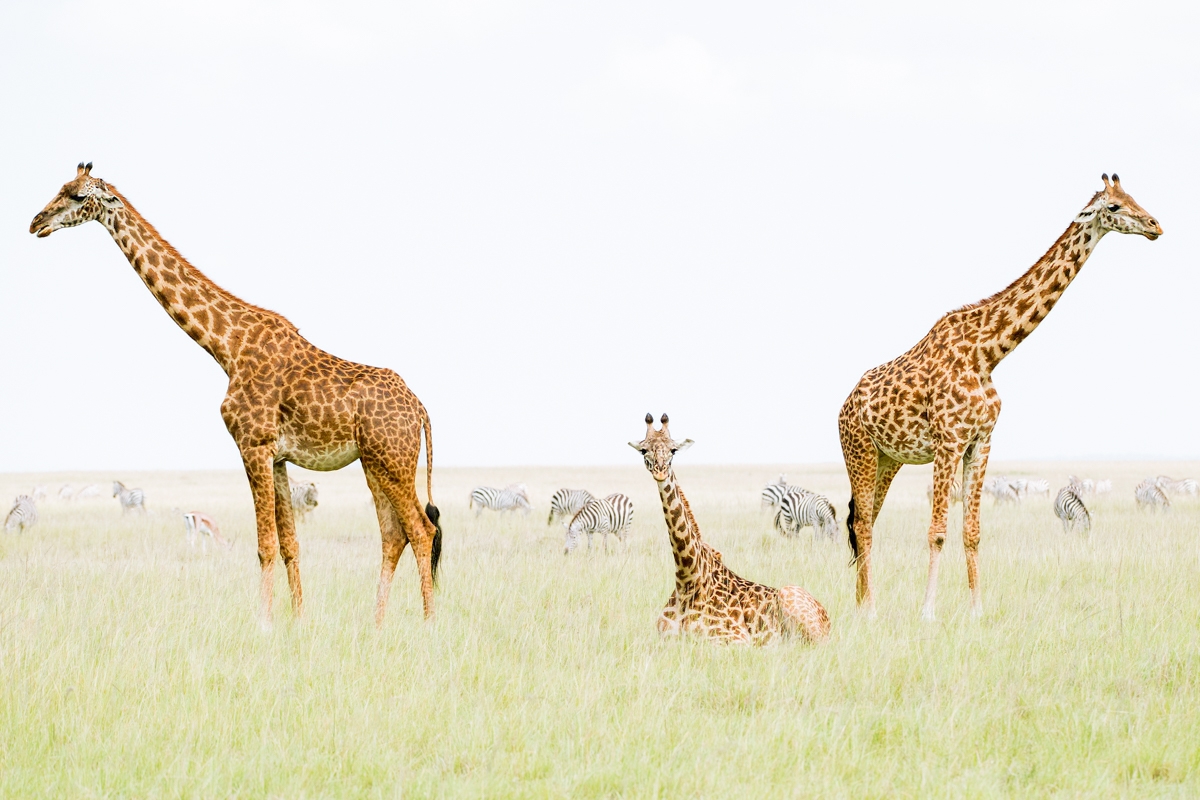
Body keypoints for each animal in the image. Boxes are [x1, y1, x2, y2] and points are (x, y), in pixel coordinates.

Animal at [30, 163, 443, 626]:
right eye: (61, 188)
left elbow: (265, 545)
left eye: (79, 197)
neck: (227, 347)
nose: (37, 222)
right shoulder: (277, 456)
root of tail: (420, 408)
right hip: (375, 464)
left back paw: (428, 623)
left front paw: (263, 623)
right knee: (393, 535)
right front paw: (298, 620)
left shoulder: (253, 444)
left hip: (393, 461)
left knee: (421, 530)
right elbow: (289, 544)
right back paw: (376, 624)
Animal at [629, 414, 830, 644]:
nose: (660, 472)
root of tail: (828, 621)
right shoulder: (660, 637)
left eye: (673, 450)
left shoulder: (735, 639)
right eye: (644, 450)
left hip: (796, 604)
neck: (687, 579)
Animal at [839, 174, 1162, 621]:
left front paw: (976, 611)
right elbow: (937, 531)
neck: (988, 352)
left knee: (864, 521)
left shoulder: (982, 441)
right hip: (860, 450)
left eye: (1132, 196)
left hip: (889, 459)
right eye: (1113, 207)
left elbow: (972, 532)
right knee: (863, 524)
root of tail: (843, 406)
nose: (1155, 225)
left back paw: (860, 605)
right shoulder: (949, 441)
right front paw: (928, 613)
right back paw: (869, 610)